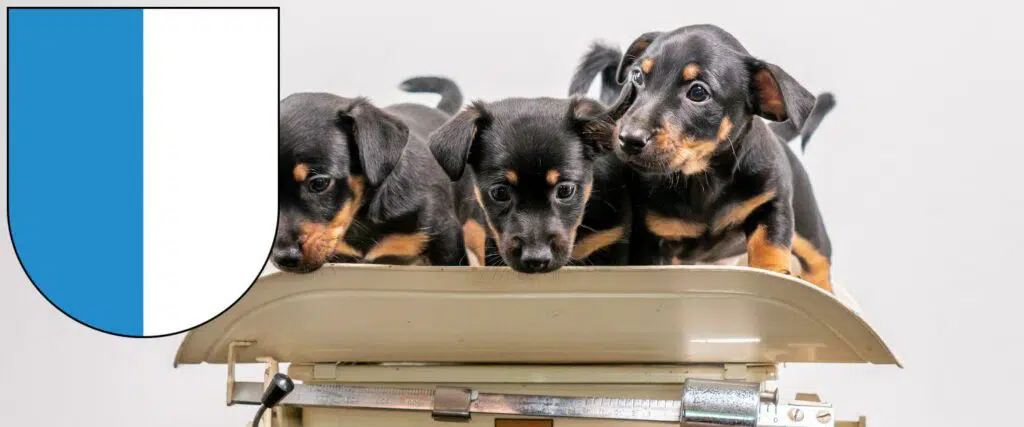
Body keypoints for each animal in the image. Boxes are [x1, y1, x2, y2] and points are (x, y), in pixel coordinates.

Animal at [569, 25, 839, 292]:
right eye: (637, 77)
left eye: (698, 92)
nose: (628, 138)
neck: (704, 178)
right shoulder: (654, 243)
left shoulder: (772, 204)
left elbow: (769, 244)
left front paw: (773, 272)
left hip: (810, 228)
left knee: (818, 263)